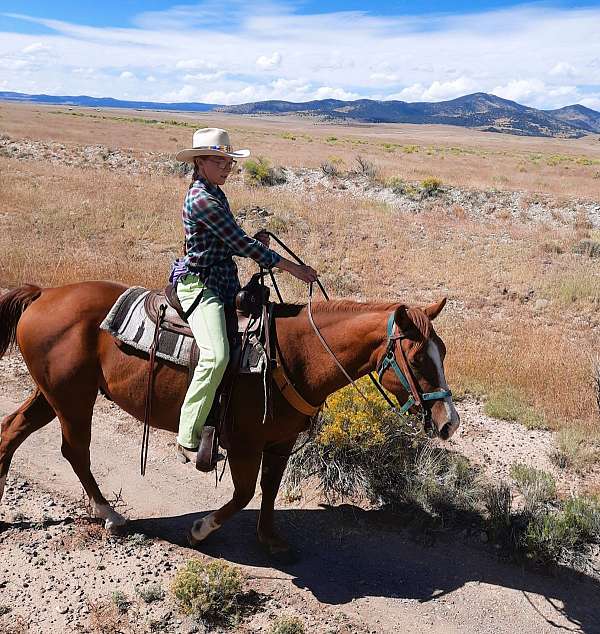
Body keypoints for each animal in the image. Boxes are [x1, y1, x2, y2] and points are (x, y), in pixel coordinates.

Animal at [0, 282, 460, 552]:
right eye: (419, 359)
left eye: (443, 353)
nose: (449, 422)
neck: (294, 355)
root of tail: (43, 294)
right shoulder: (243, 444)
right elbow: (243, 493)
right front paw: (201, 530)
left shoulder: (280, 441)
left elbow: (270, 489)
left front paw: (270, 538)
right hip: (72, 398)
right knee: (75, 450)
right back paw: (111, 516)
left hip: (51, 394)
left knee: (13, 430)